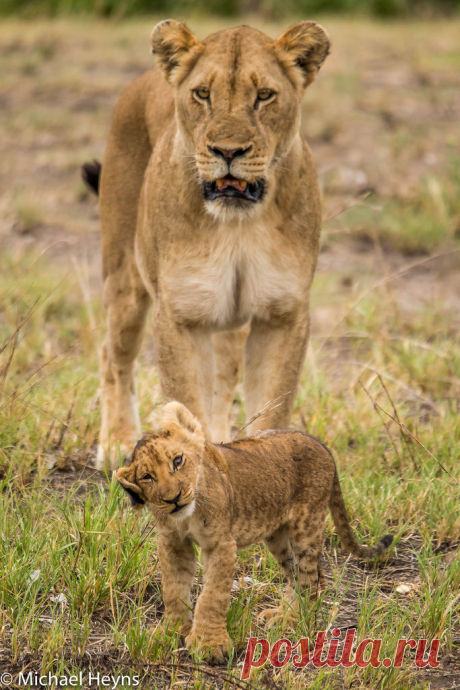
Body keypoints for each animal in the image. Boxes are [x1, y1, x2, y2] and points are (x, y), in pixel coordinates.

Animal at [82, 19, 332, 470]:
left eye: (264, 95)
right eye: (202, 94)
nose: (227, 151)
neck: (238, 224)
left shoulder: (283, 315)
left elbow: (270, 408)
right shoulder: (182, 314)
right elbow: (185, 405)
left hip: (228, 321)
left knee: (222, 379)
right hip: (125, 280)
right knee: (114, 355)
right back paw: (115, 443)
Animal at [116, 402, 393, 664]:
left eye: (177, 460)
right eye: (147, 477)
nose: (173, 499)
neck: (187, 516)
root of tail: (319, 442)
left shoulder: (221, 543)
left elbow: (212, 595)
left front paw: (209, 645)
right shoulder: (173, 542)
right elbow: (174, 589)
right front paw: (170, 633)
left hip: (306, 524)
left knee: (310, 579)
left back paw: (291, 620)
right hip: (277, 536)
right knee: (306, 576)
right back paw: (281, 614)